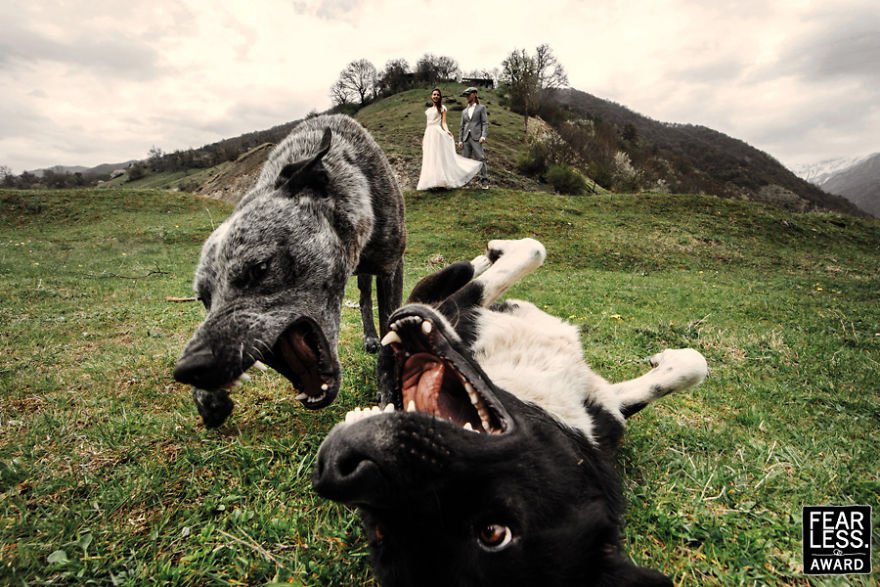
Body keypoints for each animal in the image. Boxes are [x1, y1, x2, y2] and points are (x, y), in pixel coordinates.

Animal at [174, 113, 406, 428]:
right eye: (204, 298)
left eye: (260, 267)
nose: (188, 368)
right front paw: (207, 397)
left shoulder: (391, 267)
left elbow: (388, 345)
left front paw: (388, 398)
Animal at [312, 238, 704, 584]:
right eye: (379, 531)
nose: (339, 467)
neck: (529, 394)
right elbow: (524, 255)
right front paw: (498, 251)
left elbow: (691, 364)